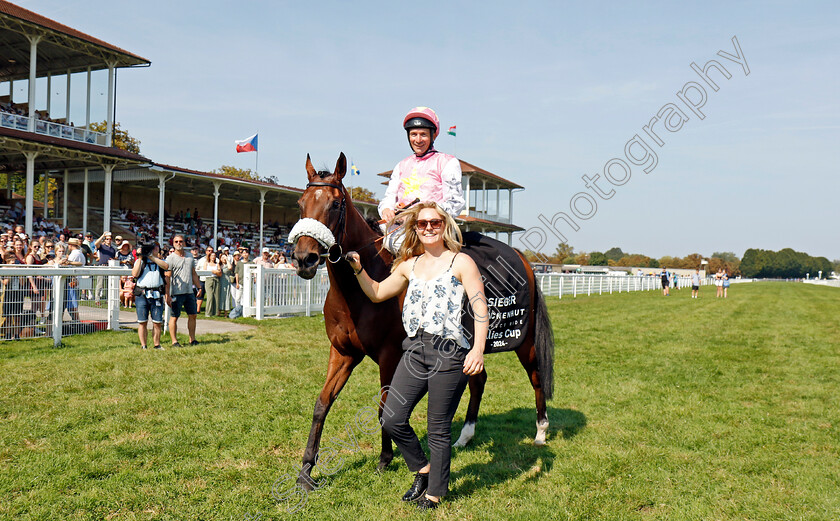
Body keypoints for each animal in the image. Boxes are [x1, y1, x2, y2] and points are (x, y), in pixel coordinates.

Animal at [292, 152, 556, 490]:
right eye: (301, 203)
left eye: (335, 204)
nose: (304, 259)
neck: (361, 294)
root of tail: (523, 257)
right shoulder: (342, 353)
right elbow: (322, 404)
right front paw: (306, 471)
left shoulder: (390, 355)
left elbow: (385, 405)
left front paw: (384, 459)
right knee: (478, 380)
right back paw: (465, 436)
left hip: (524, 339)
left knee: (536, 377)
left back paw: (540, 432)